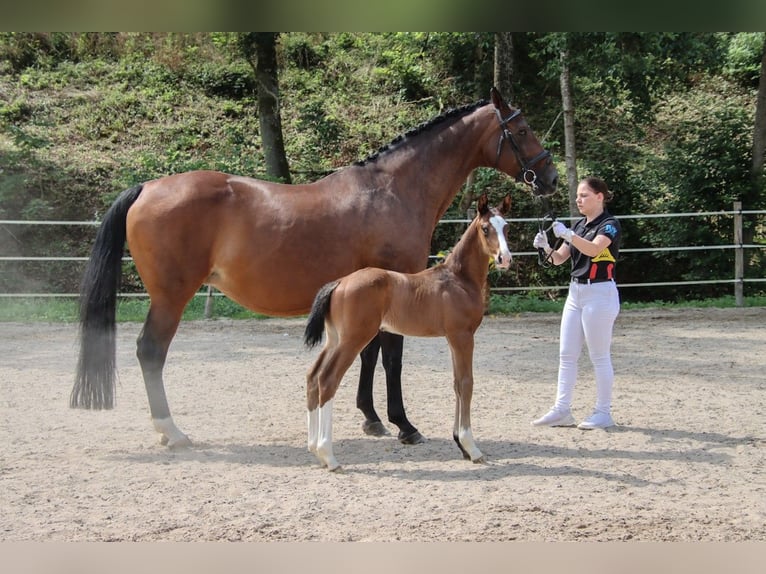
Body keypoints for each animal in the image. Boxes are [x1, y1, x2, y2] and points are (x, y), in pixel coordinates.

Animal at [72, 88, 560, 452]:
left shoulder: (374, 291)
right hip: (171, 298)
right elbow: (392, 357)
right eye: (521, 129)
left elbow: (368, 354)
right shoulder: (395, 283)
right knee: (150, 352)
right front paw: (403, 425)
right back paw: (171, 432)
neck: (393, 189)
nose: (551, 178)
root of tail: (148, 187)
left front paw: (371, 419)